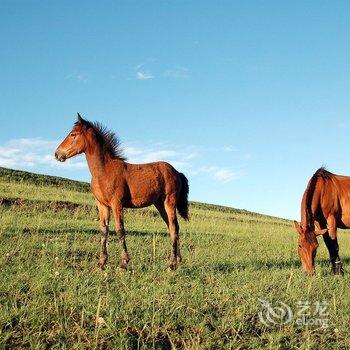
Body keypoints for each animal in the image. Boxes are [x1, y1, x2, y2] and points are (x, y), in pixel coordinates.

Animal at [54, 115, 189, 270]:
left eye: (73, 134)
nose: (57, 154)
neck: (104, 171)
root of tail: (176, 172)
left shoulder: (116, 204)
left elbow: (120, 230)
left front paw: (124, 262)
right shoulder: (102, 205)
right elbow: (104, 230)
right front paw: (101, 262)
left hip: (169, 202)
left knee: (173, 227)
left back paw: (172, 264)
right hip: (160, 205)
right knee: (173, 228)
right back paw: (178, 259)